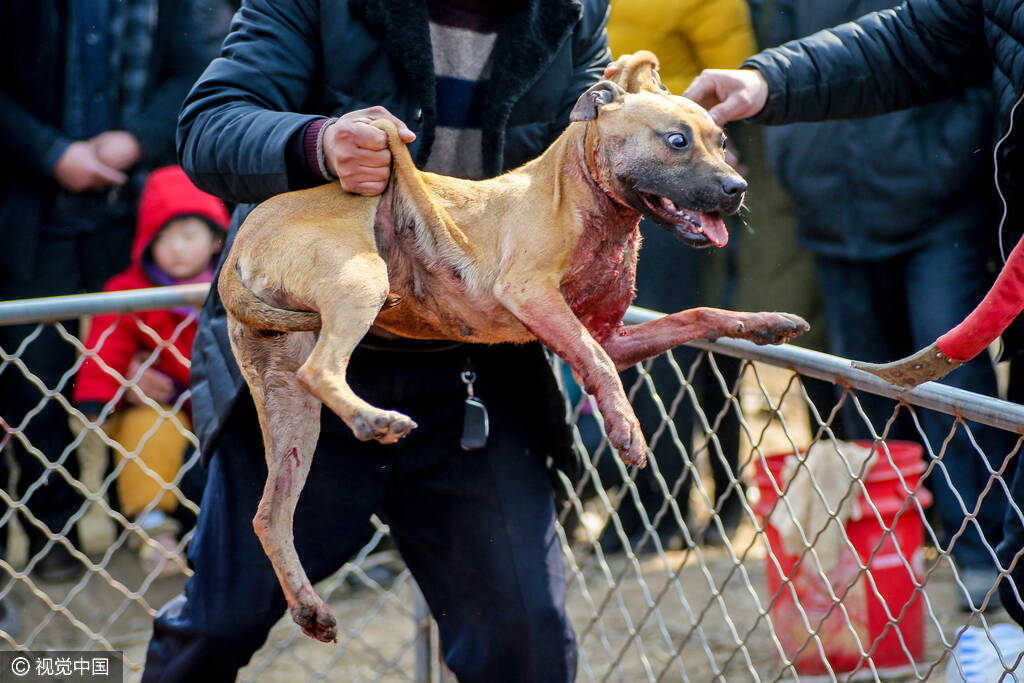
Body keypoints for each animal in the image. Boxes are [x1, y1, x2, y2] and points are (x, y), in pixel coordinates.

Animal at [216, 52, 806, 643]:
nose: (736, 188)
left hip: (288, 405)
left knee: (269, 514)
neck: (580, 197)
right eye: (677, 140)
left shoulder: (613, 336)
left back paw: (308, 605)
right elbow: (598, 364)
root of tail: (237, 250)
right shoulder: (531, 294)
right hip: (359, 280)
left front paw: (765, 324)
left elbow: (696, 317)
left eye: (722, 140)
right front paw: (627, 428)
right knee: (322, 371)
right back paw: (374, 419)